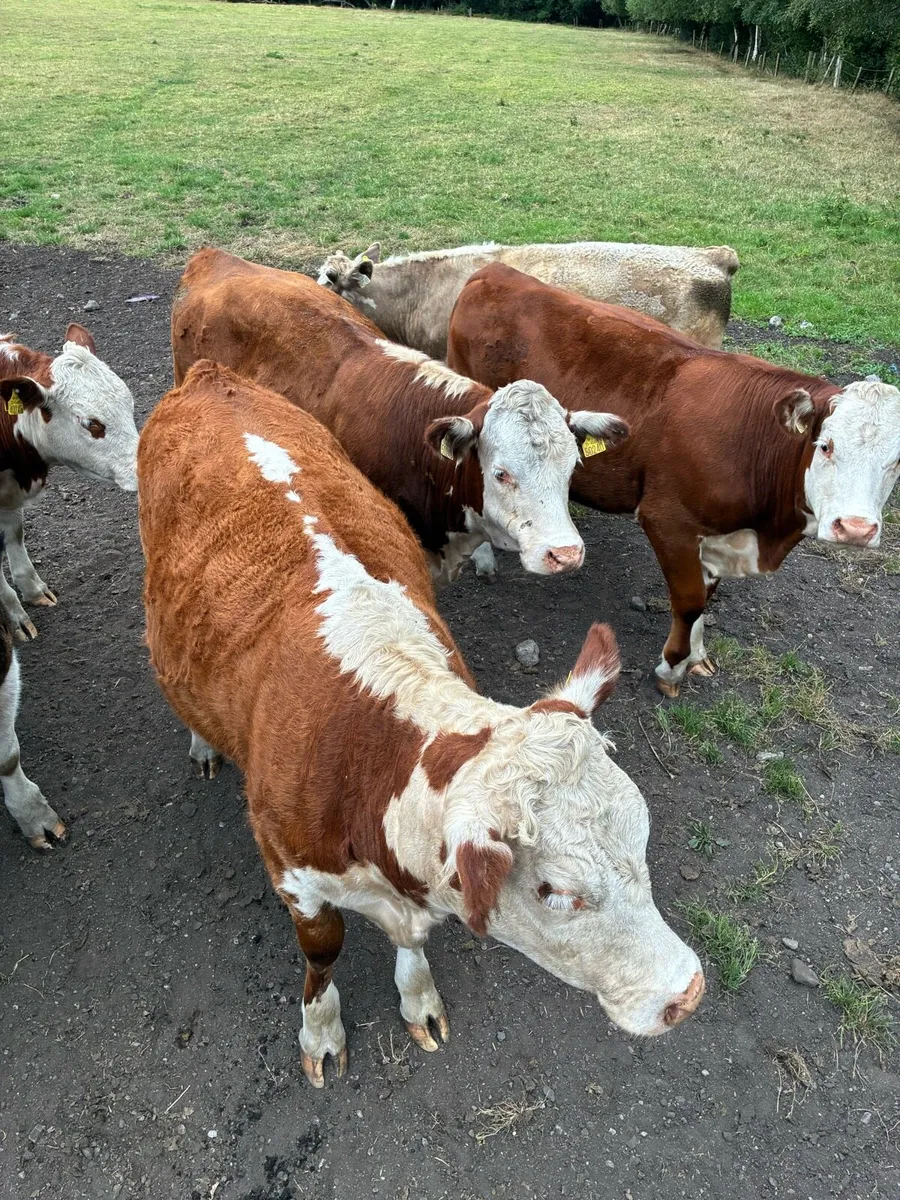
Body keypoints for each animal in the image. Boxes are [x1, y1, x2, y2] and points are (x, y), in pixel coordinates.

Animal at [139, 360, 704, 1087]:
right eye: (555, 892)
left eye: (642, 835)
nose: (688, 990)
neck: (364, 748)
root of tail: (212, 378)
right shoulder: (290, 868)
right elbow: (322, 952)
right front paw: (320, 1029)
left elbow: (411, 944)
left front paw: (419, 997)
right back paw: (203, 741)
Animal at [446, 264, 900, 697]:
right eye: (825, 446)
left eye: (896, 461)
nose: (855, 529)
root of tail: (495, 272)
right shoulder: (668, 520)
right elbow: (690, 600)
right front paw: (671, 668)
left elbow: (707, 593)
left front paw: (696, 656)